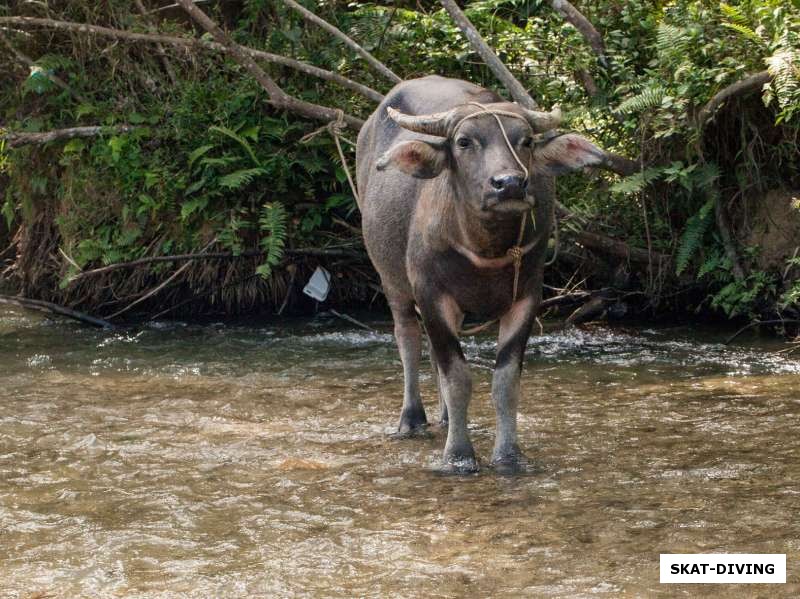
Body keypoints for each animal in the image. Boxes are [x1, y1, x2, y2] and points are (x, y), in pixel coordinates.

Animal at [356, 76, 608, 474]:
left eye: (526, 140)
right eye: (464, 142)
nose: (509, 183)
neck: (485, 247)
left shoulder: (527, 297)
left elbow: (505, 382)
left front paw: (509, 455)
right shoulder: (431, 294)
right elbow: (457, 376)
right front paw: (458, 455)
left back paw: (446, 418)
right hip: (391, 279)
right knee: (408, 340)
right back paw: (412, 419)